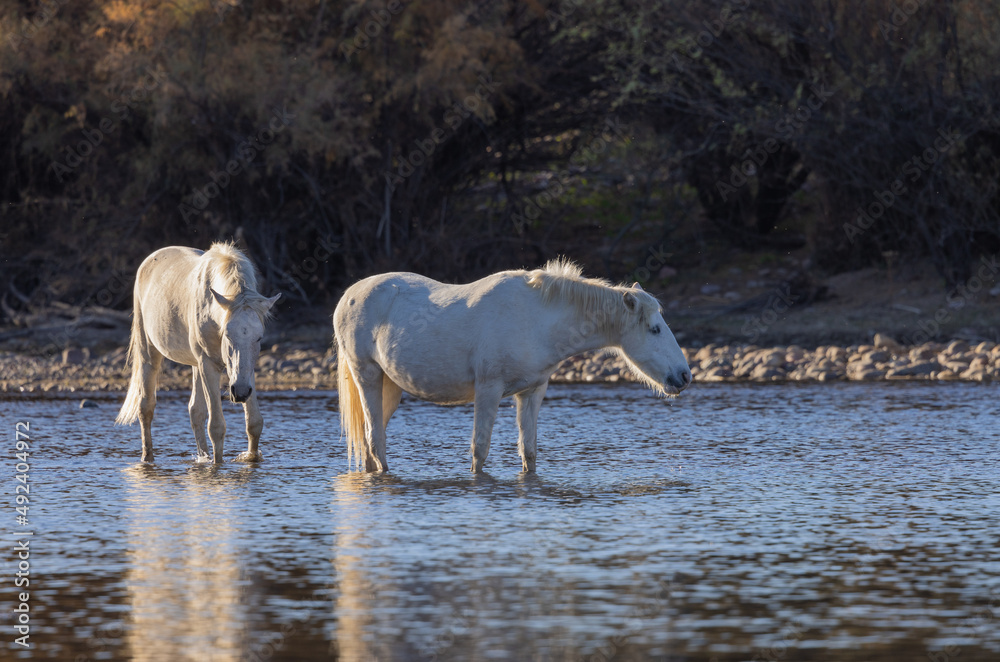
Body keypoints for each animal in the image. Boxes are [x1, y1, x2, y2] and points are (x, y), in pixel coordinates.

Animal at [115, 242, 280, 463]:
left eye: (259, 338)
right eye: (227, 335)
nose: (240, 392)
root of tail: (150, 259)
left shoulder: (245, 371)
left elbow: (253, 423)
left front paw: (251, 459)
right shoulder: (209, 364)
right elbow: (216, 427)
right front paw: (217, 466)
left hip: (196, 364)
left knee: (195, 411)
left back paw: (202, 458)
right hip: (148, 351)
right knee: (145, 407)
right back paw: (147, 458)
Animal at [333, 258, 691, 474]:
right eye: (654, 329)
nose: (684, 376)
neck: (537, 319)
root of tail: (349, 295)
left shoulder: (532, 392)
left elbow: (528, 451)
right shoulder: (488, 390)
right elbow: (480, 450)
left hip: (390, 387)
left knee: (370, 442)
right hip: (366, 376)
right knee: (375, 439)